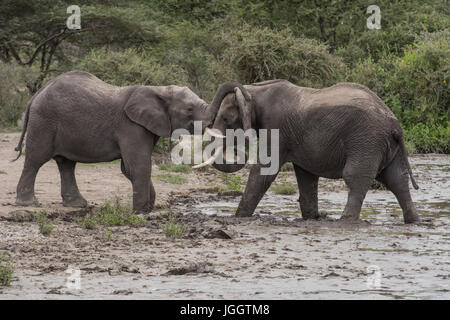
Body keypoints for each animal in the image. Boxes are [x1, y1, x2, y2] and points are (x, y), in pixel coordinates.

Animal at [14, 71, 246, 214]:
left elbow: (129, 168)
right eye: (189, 109)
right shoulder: (130, 126)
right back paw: (28, 203)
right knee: (36, 159)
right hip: (44, 121)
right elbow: (138, 165)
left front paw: (148, 207)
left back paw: (77, 205)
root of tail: (35, 95)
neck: (158, 89)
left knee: (66, 164)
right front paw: (141, 211)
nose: (238, 92)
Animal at [195, 79, 420, 224]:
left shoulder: (276, 128)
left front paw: (238, 217)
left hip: (367, 141)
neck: (254, 91)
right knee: (396, 180)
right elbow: (306, 176)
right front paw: (312, 218)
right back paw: (413, 221)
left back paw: (345, 221)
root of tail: (395, 125)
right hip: (384, 145)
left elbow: (265, 170)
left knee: (356, 176)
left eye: (225, 118)